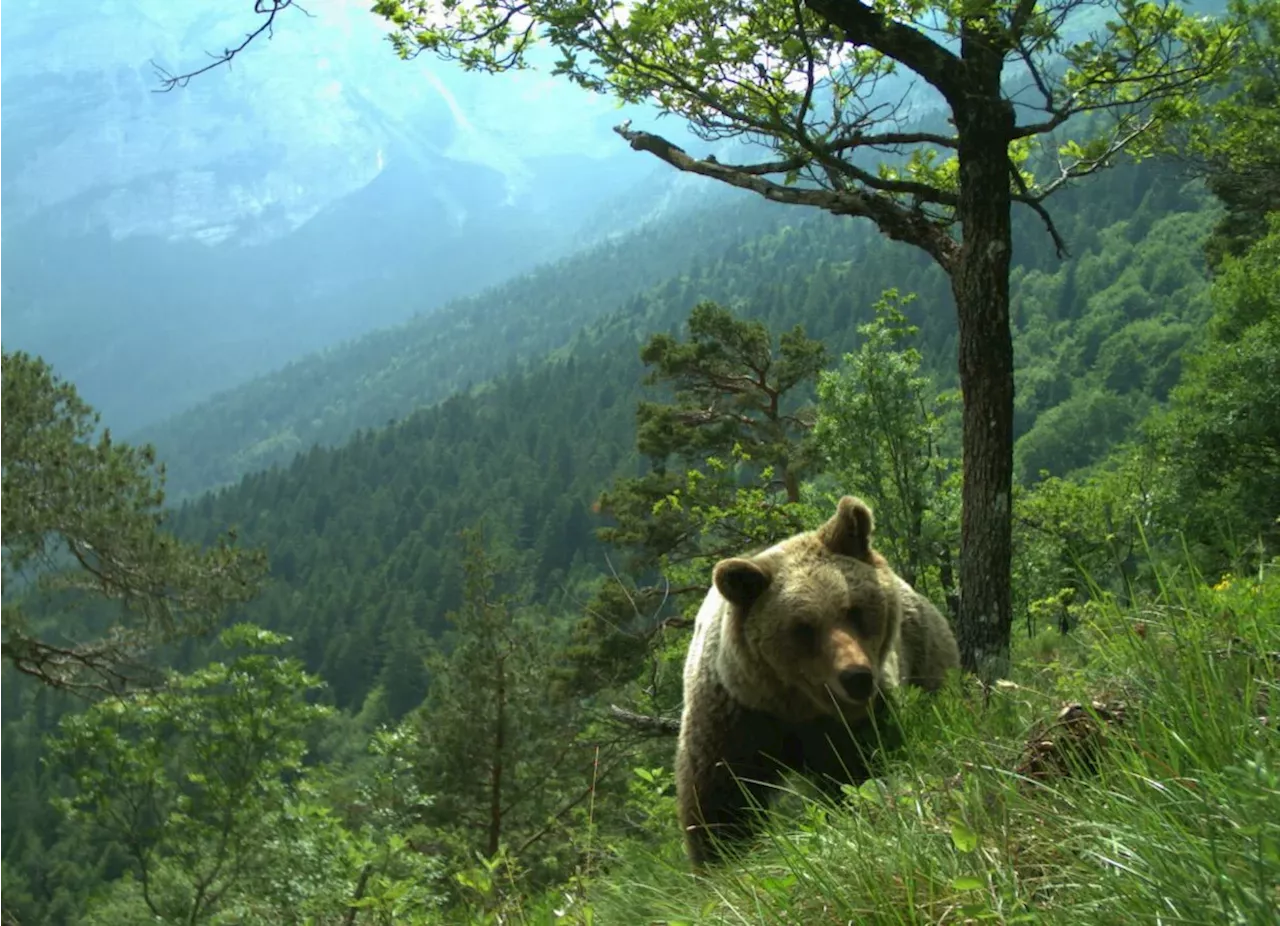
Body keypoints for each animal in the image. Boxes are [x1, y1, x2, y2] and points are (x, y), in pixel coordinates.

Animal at [675, 496, 957, 865]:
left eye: (853, 609)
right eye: (803, 627)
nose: (856, 677)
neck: (796, 707)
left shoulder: (858, 722)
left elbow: (863, 771)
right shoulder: (735, 717)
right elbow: (720, 800)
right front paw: (721, 856)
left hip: (926, 653)